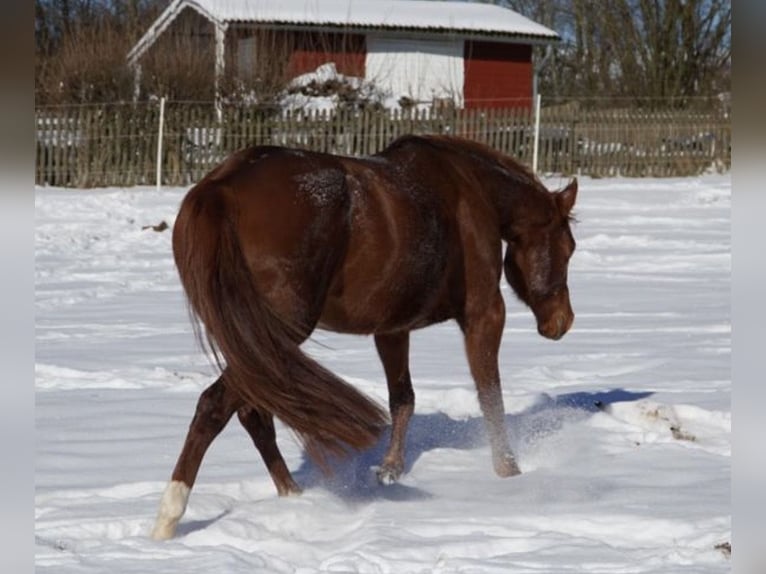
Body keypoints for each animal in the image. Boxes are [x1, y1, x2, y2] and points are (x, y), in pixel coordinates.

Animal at [151, 134, 577, 540]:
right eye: (569, 247)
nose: (563, 321)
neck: (469, 188)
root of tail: (222, 187)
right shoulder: (484, 315)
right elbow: (491, 395)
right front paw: (508, 472)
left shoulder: (392, 329)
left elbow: (403, 399)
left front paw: (390, 470)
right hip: (276, 333)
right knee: (216, 408)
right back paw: (170, 516)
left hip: (255, 343)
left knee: (252, 413)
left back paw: (293, 497)